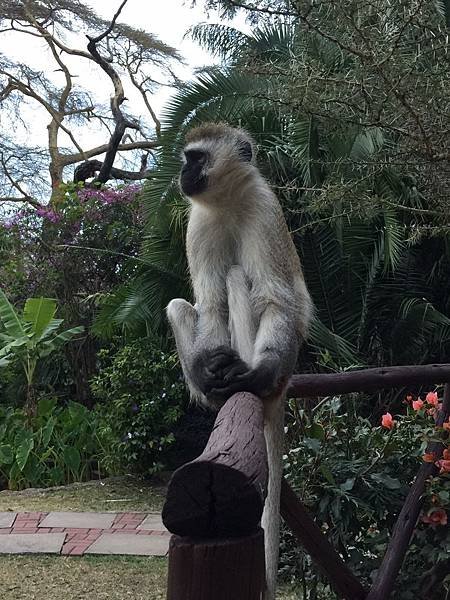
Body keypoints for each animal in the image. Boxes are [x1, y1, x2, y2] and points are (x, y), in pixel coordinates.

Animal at [166, 123, 312, 600]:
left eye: (196, 158)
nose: (182, 174)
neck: (227, 203)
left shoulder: (263, 210)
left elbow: (275, 298)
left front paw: (254, 371)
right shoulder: (198, 224)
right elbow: (209, 306)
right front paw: (208, 370)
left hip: (279, 370)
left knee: (237, 278)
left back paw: (250, 380)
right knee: (181, 307)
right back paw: (212, 387)